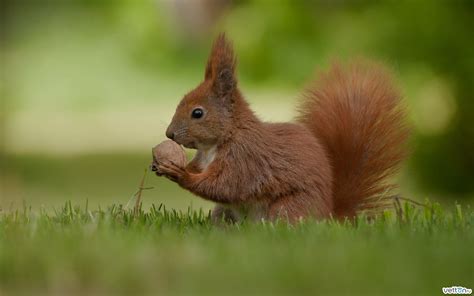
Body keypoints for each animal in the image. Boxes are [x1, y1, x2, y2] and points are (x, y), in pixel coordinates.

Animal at [154, 33, 410, 223]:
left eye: (198, 113)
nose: (170, 134)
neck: (218, 142)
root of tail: (328, 215)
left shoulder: (245, 159)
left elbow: (224, 186)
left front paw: (181, 174)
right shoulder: (205, 158)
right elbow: (201, 171)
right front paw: (164, 165)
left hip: (287, 208)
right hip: (224, 212)